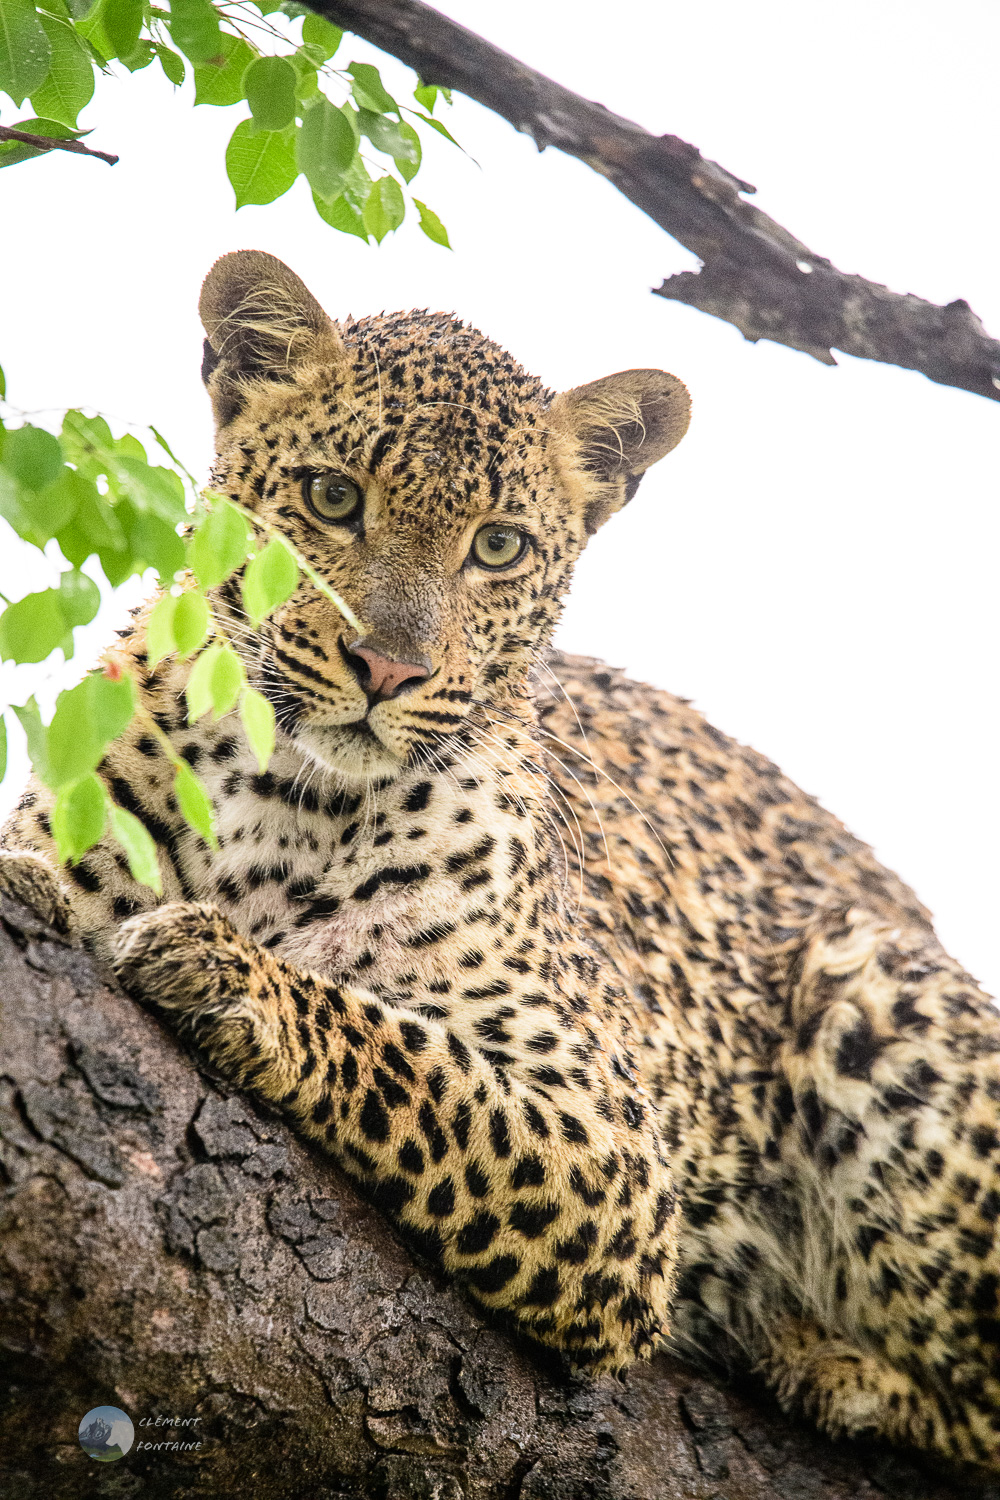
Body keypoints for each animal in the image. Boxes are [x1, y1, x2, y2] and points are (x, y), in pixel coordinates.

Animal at [1, 252, 1000, 1470]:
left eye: (498, 548)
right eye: (333, 497)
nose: (387, 668)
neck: (277, 795)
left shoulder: (612, 1153)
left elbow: (412, 1063)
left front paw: (223, 968)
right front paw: (54, 891)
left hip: (868, 985)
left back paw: (828, 1366)